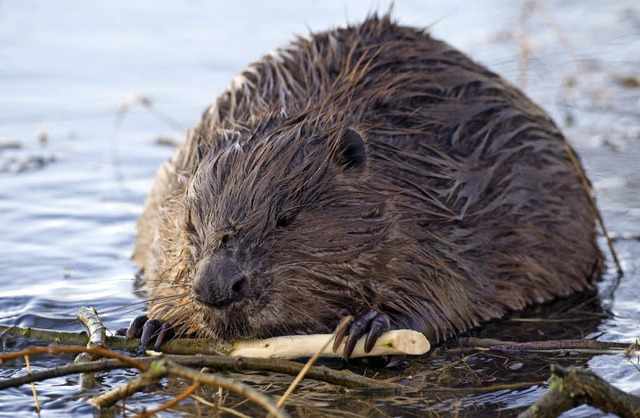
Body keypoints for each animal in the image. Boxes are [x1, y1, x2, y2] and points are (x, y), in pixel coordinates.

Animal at [127, 14, 604, 358]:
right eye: (191, 223)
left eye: (286, 219)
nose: (216, 286)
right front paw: (155, 322)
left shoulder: (443, 210)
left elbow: (445, 289)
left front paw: (369, 324)